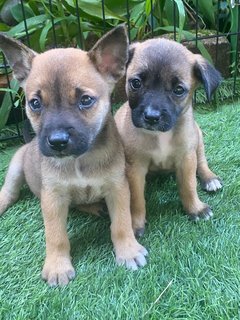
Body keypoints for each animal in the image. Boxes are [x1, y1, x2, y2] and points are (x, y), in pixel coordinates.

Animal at [0, 25, 147, 288]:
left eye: (85, 100)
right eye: (35, 103)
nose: (57, 142)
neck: (80, 159)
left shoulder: (117, 188)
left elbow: (121, 223)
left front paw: (128, 251)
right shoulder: (53, 199)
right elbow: (56, 236)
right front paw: (58, 266)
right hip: (16, 166)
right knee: (9, 192)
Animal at [115, 38, 223, 238]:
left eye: (178, 90)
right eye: (136, 83)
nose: (151, 117)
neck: (160, 135)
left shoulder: (187, 158)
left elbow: (189, 186)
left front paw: (195, 209)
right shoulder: (135, 168)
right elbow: (136, 199)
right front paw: (135, 223)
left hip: (198, 139)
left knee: (202, 162)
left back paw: (210, 178)